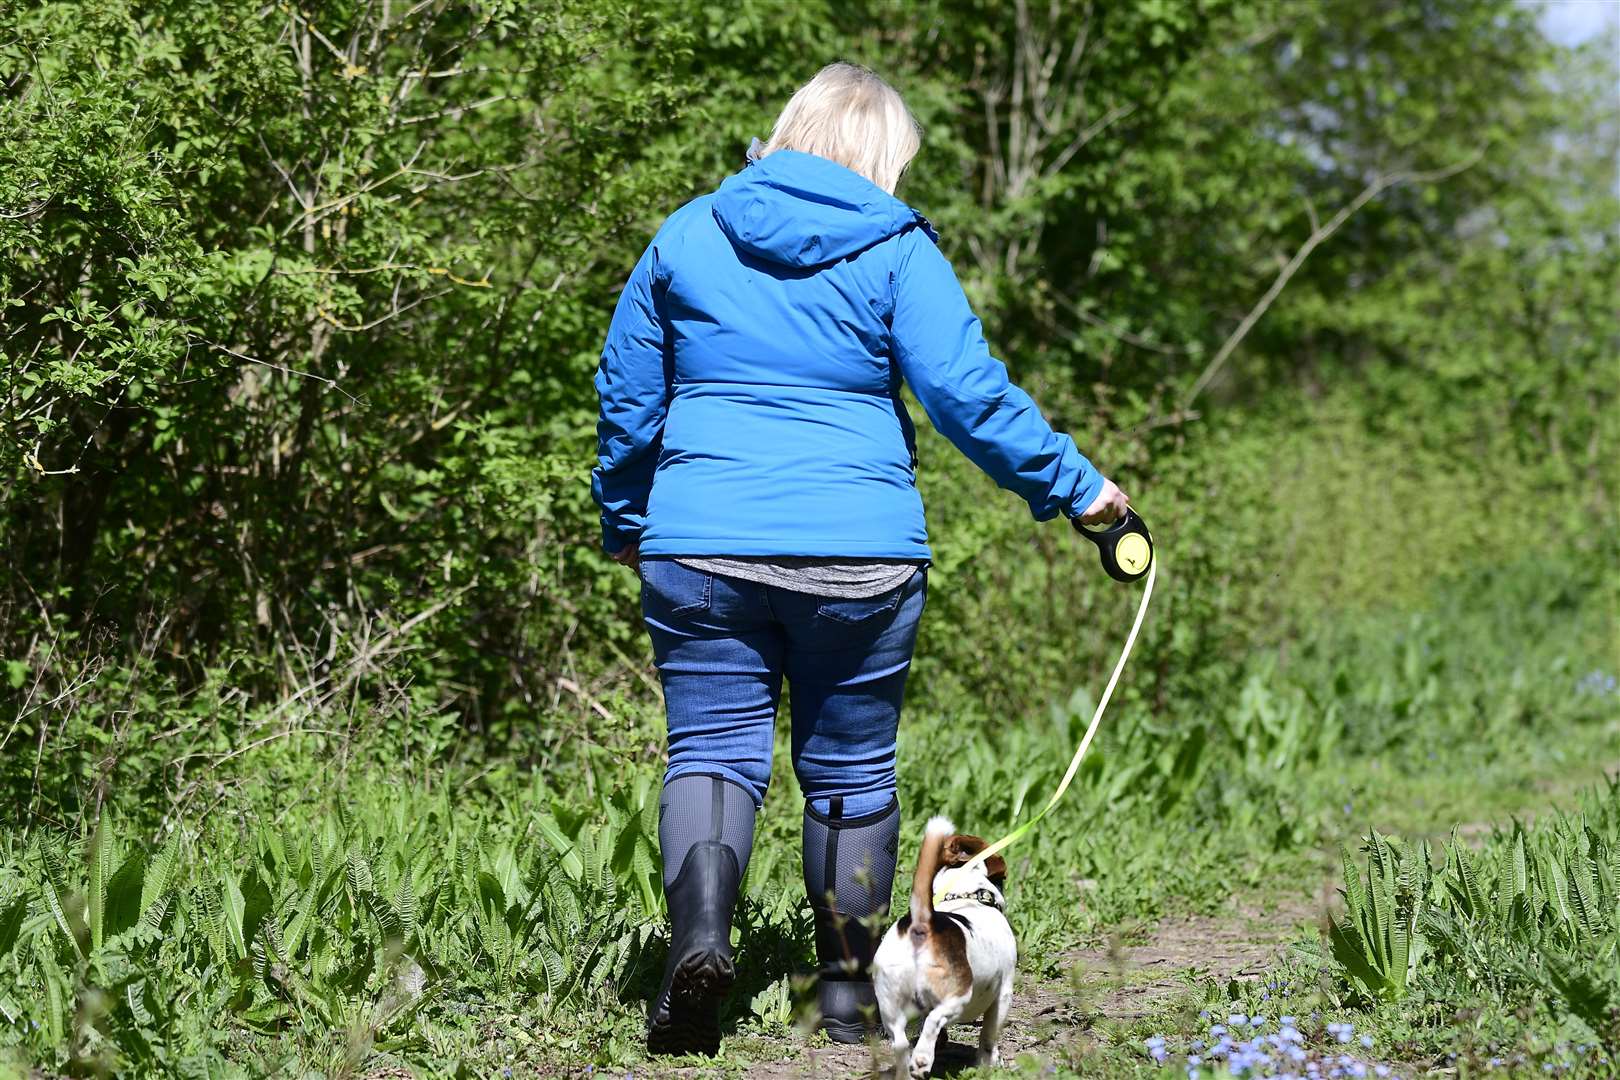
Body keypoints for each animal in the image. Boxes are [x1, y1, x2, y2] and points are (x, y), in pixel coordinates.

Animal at [874, 816, 1010, 1075]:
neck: (967, 895)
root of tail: (922, 924)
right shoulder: (1004, 993)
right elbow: (989, 1037)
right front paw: (989, 1064)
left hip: (889, 1004)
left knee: (901, 1043)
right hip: (958, 996)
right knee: (933, 1020)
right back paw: (922, 1059)